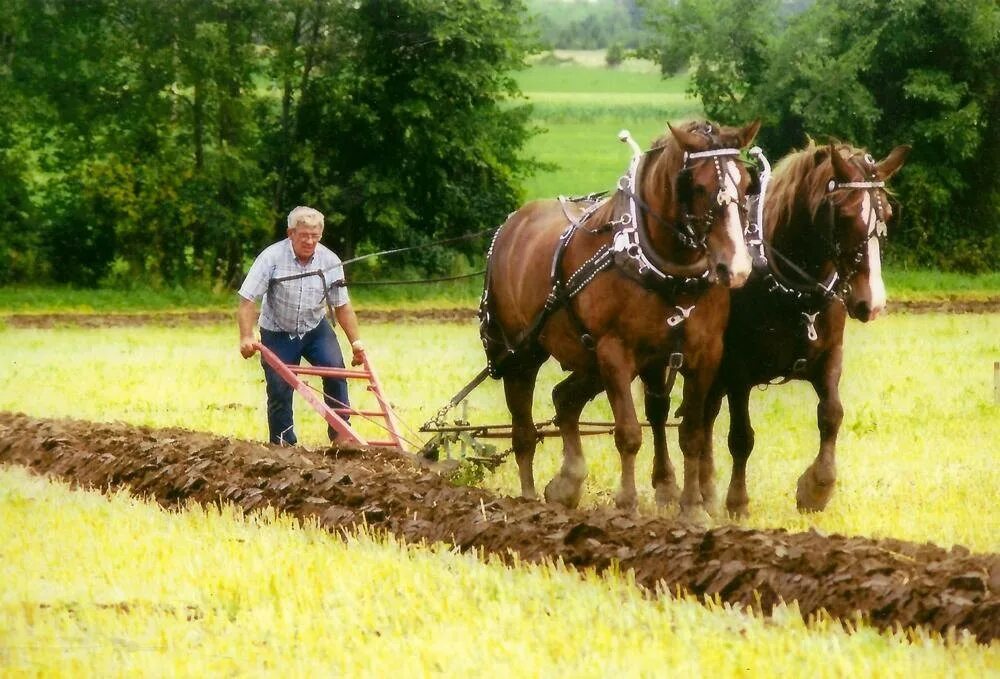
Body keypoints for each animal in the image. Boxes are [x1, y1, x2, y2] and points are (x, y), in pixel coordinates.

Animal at [480, 119, 760, 516]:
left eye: (748, 183)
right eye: (698, 186)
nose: (735, 267)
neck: (666, 270)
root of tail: (511, 225)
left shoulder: (703, 354)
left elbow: (691, 433)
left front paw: (691, 508)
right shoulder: (614, 352)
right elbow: (628, 432)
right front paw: (627, 503)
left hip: (588, 359)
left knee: (564, 399)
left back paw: (568, 482)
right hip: (522, 352)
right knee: (523, 429)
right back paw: (529, 500)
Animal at [696, 141, 908, 516]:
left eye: (885, 213)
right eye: (846, 215)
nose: (872, 302)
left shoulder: (829, 357)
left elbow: (832, 415)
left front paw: (816, 488)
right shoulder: (737, 370)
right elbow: (741, 437)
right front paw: (738, 502)